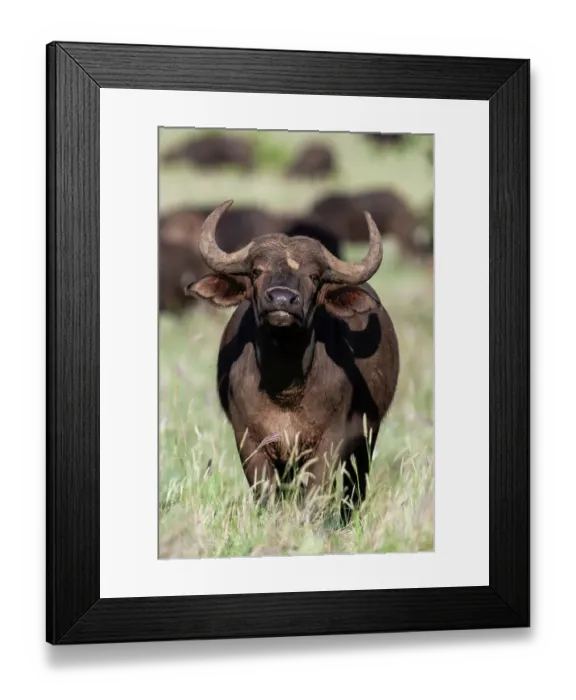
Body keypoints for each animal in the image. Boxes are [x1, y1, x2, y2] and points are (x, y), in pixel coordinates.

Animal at [185, 200, 400, 522]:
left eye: (314, 276)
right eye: (257, 270)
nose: (282, 300)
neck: (285, 385)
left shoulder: (329, 443)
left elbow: (315, 495)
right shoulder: (250, 441)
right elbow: (266, 494)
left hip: (366, 439)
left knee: (354, 487)